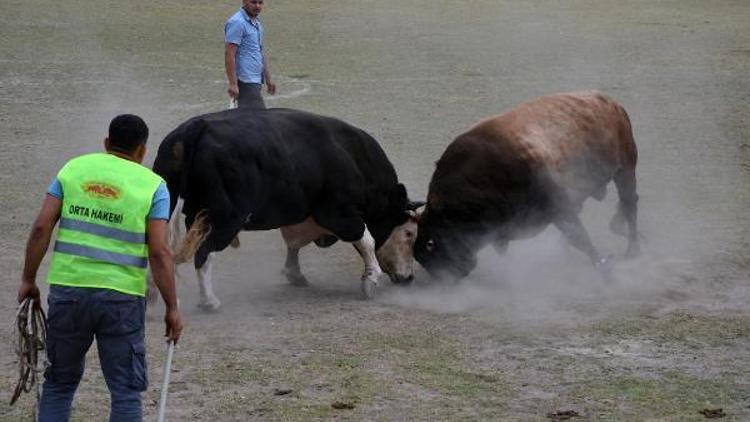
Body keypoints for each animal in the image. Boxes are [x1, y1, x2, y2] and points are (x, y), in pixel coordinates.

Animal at [153, 107, 424, 302]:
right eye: (409, 233)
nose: (410, 278)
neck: (352, 155)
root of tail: (197, 127)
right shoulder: (339, 213)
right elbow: (365, 239)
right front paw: (370, 279)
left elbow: (294, 242)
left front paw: (295, 273)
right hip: (224, 219)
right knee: (204, 253)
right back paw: (209, 301)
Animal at [418, 90, 640, 278]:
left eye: (431, 242)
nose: (447, 276)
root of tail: (612, 104)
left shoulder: (558, 208)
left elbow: (580, 237)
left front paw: (604, 269)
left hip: (625, 171)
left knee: (629, 204)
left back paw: (632, 251)